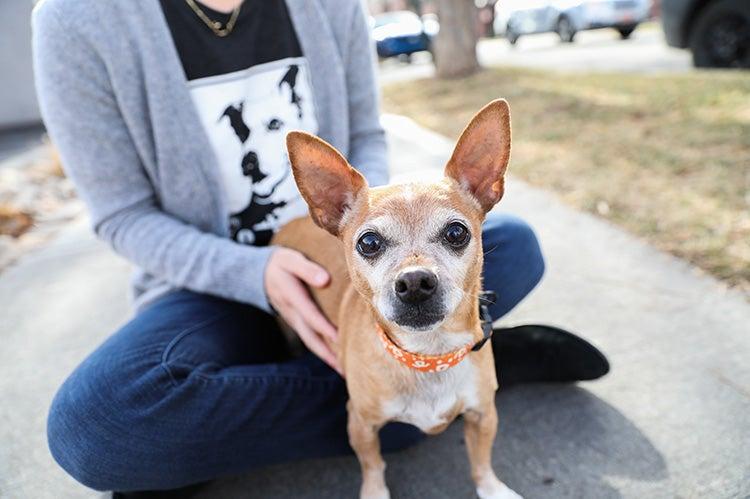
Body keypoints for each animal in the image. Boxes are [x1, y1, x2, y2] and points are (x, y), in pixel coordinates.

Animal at [272, 99, 524, 498]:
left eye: (457, 233)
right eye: (368, 242)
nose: (415, 281)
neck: (428, 355)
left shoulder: (483, 413)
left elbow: (481, 460)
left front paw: (492, 489)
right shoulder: (360, 425)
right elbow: (373, 465)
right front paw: (375, 493)